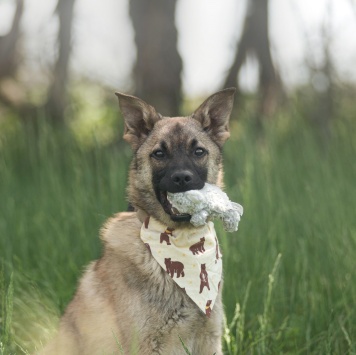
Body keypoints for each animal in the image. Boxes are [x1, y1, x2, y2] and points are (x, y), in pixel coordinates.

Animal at [40, 87, 235, 354]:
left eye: (198, 152)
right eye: (159, 154)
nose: (182, 178)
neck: (182, 242)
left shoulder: (208, 340)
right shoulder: (146, 344)